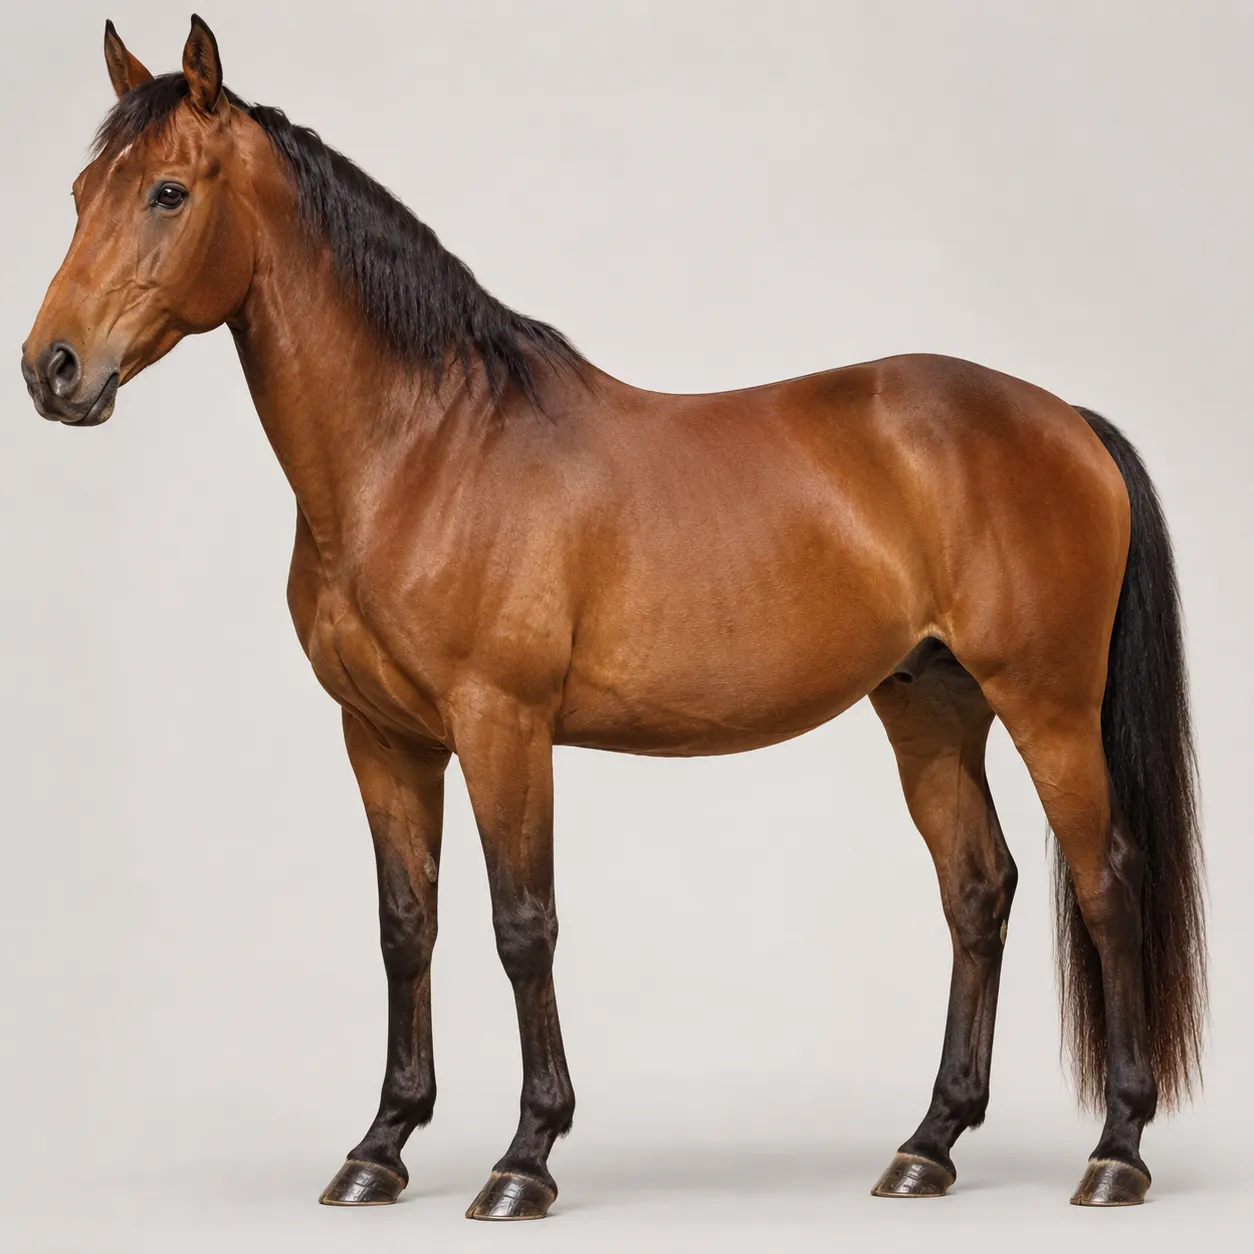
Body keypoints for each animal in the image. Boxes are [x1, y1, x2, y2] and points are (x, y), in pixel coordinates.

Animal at [21, 16, 1206, 1220]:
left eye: (167, 191)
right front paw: (379, 1148)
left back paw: (1117, 1151)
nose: (52, 368)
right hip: (929, 708)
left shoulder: (502, 727)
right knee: (978, 891)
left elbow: (521, 926)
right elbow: (407, 928)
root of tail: (1065, 419)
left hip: (1048, 707)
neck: (424, 450)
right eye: (79, 192)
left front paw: (524, 1159)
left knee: (1107, 884)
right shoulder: (382, 738)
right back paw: (929, 1145)